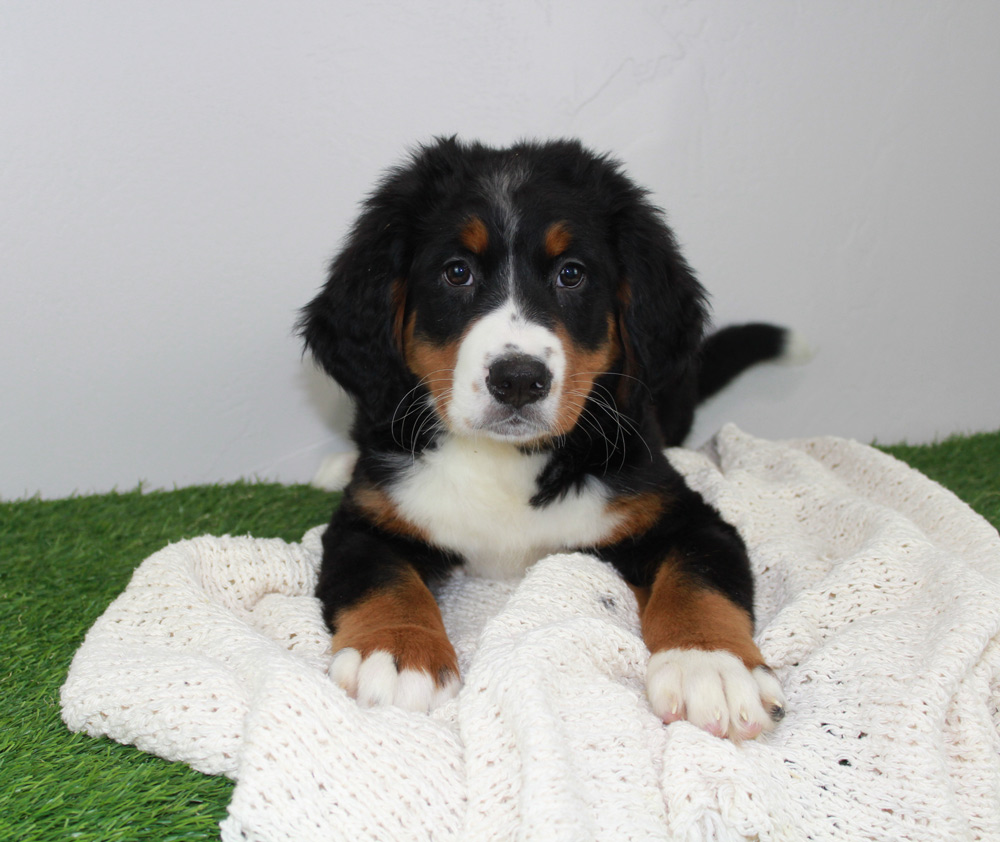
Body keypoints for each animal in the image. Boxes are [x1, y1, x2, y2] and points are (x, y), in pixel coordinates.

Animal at [300, 136, 792, 736]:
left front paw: (710, 667)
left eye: (571, 274)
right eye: (456, 272)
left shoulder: (681, 513)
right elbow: (382, 578)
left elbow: (699, 577)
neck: (506, 460)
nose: (517, 380)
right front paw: (396, 651)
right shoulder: (369, 519)